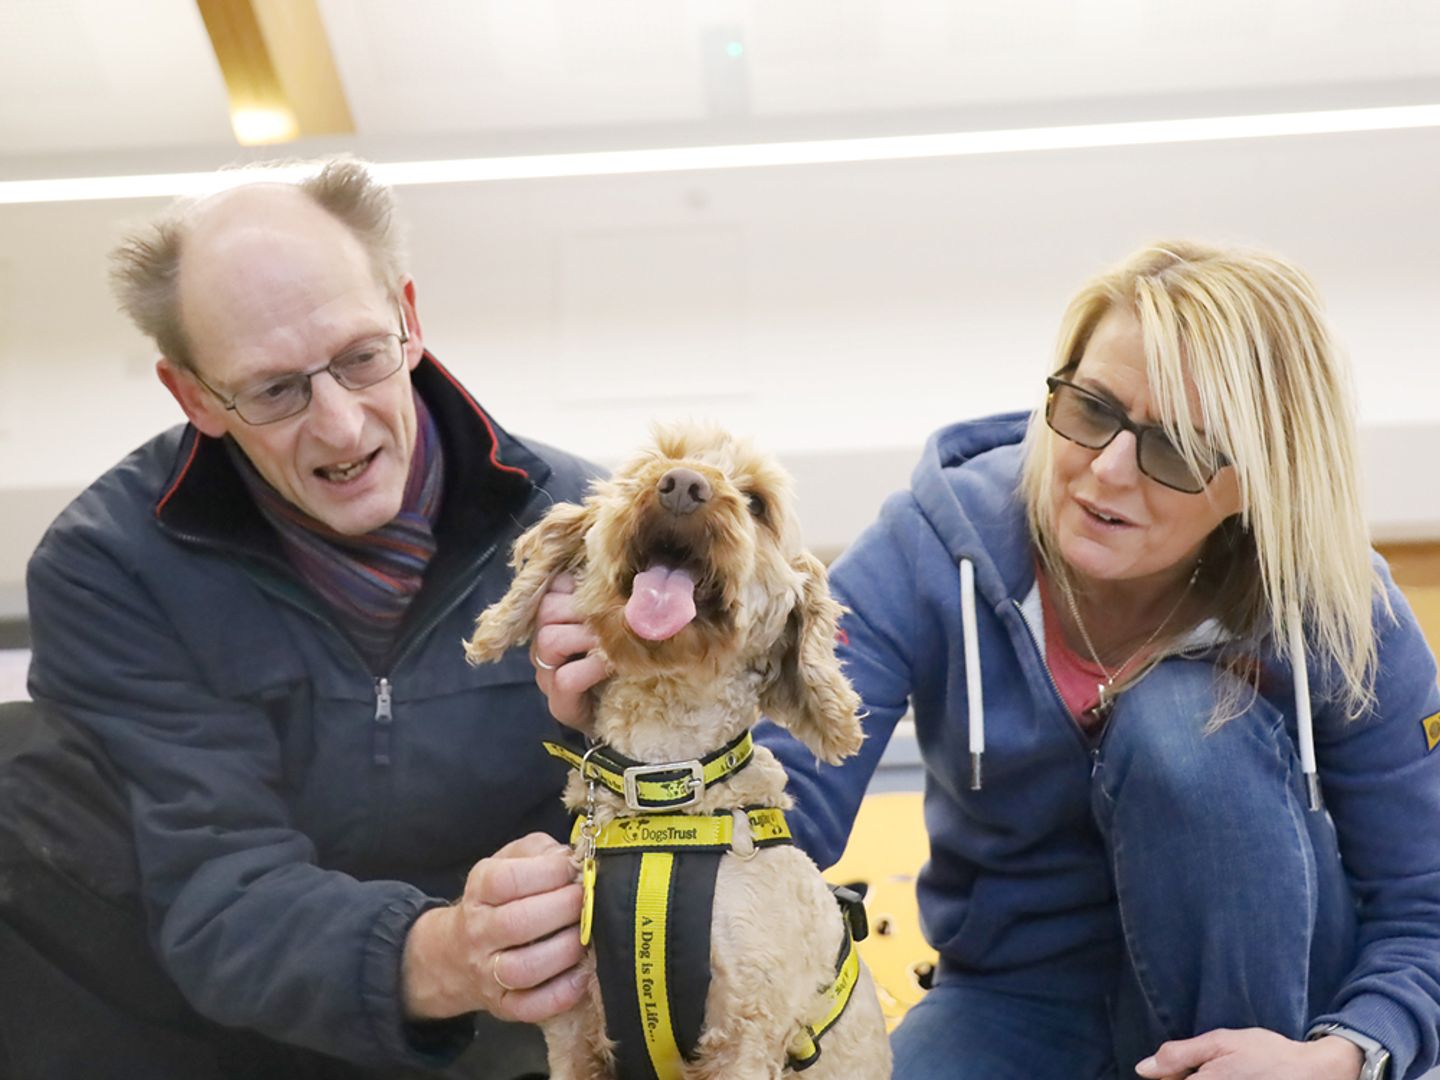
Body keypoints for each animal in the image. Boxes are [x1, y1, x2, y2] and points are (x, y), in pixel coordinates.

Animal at [466, 426, 887, 1077]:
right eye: (658, 460)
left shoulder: (746, 1032)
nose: (683, 486)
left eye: (758, 503)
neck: (663, 786)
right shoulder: (572, 1030)